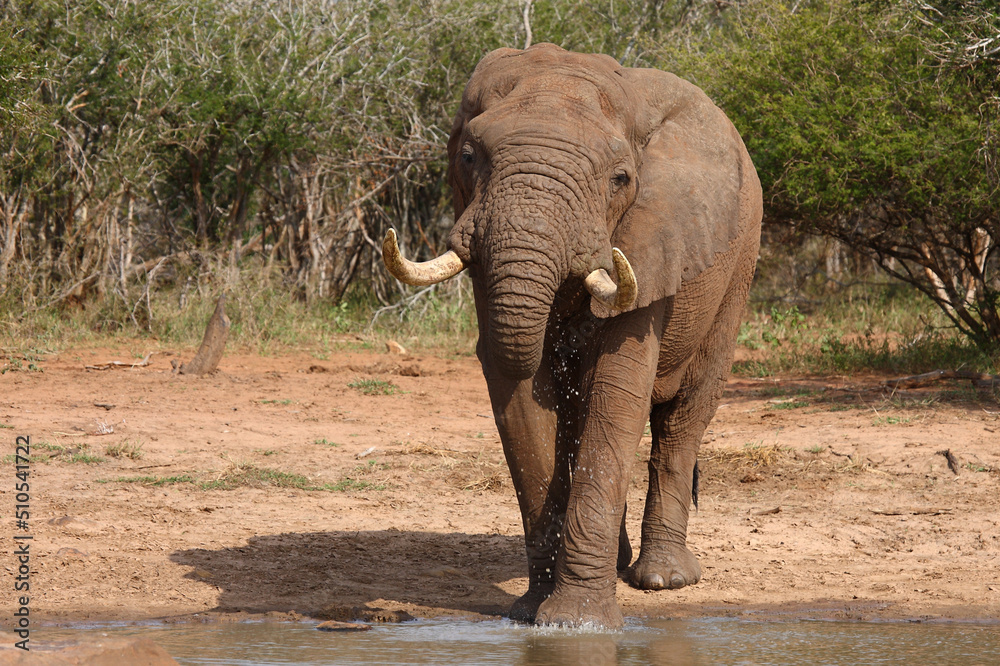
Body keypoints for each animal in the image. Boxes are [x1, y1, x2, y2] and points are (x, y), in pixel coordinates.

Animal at [383, 44, 762, 629]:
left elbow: (617, 387)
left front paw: (577, 623)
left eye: (621, 179)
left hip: (738, 266)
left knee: (684, 415)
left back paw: (662, 578)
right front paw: (531, 613)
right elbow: (517, 389)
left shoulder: (652, 238)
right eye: (468, 157)